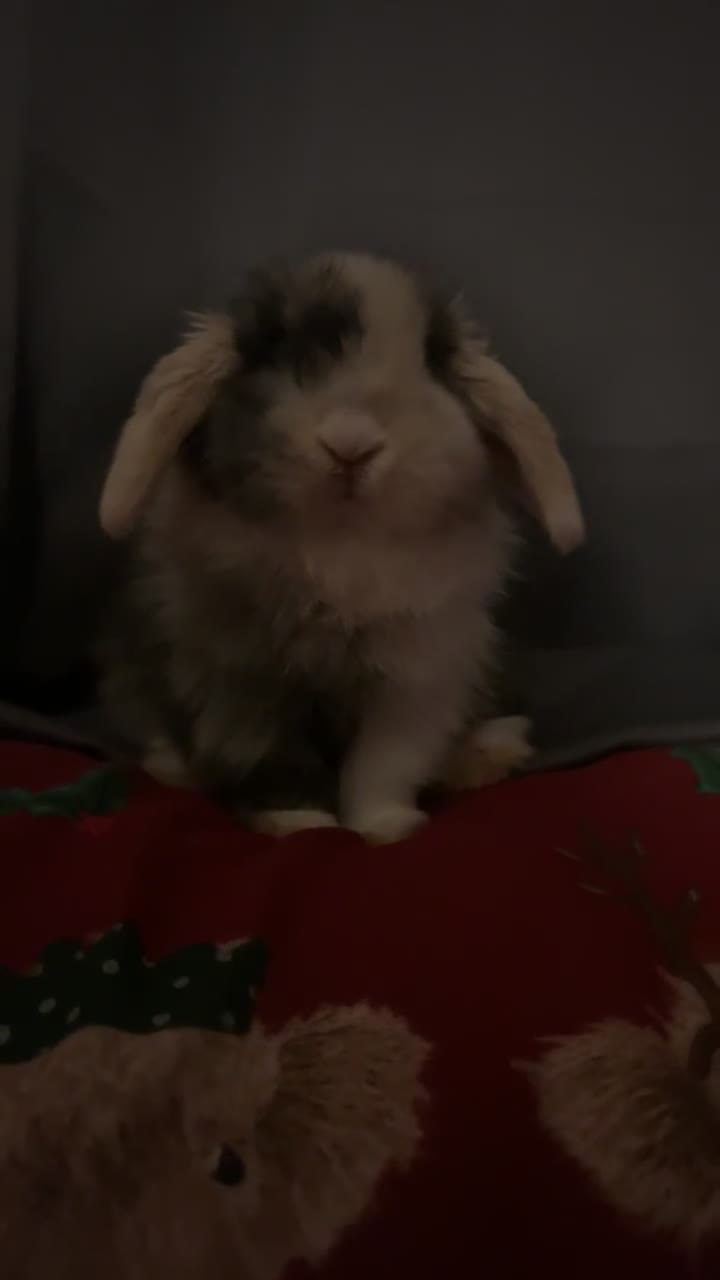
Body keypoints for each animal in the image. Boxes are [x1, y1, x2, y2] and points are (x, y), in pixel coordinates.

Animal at [97, 251, 583, 844]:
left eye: (431, 359)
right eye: (277, 350)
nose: (352, 445)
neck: (339, 548)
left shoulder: (417, 681)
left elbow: (384, 763)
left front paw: (384, 828)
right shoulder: (241, 686)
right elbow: (274, 760)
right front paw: (299, 825)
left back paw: (486, 758)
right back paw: (174, 768)